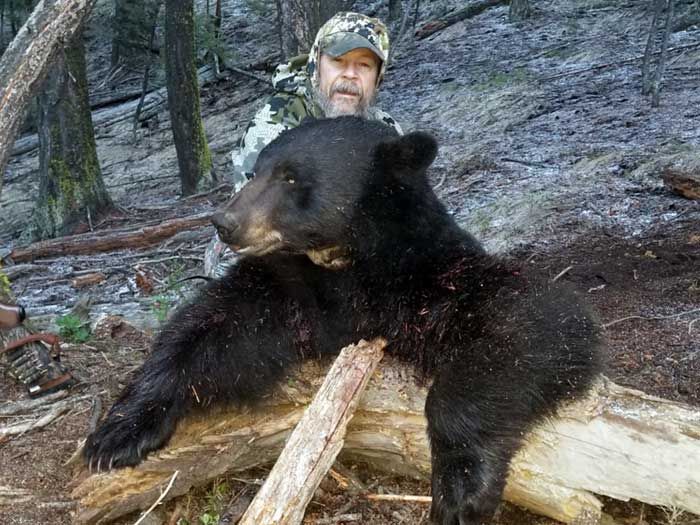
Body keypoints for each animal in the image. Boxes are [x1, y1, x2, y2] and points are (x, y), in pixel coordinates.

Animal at [84, 116, 601, 525]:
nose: (224, 223)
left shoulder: (426, 278)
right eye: (255, 170)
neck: (347, 258)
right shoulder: (295, 289)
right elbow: (207, 327)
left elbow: (536, 317)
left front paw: (462, 494)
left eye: (291, 177)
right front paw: (115, 435)